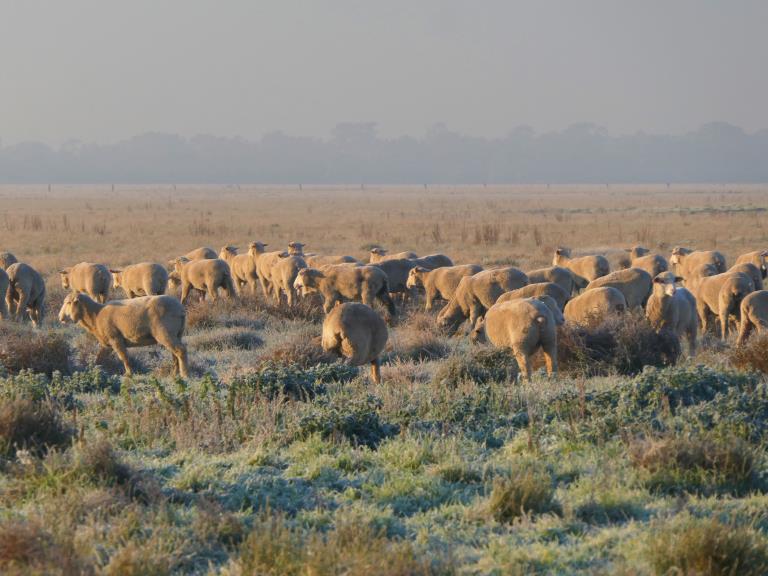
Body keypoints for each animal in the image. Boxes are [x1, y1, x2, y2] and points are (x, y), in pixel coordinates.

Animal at [58, 292, 188, 377]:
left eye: (68, 303)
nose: (60, 317)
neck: (95, 315)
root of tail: (180, 309)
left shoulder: (115, 339)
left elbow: (124, 357)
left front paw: (129, 374)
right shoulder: (107, 344)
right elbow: (99, 358)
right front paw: (96, 371)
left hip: (164, 332)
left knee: (180, 350)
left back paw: (184, 374)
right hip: (177, 334)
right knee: (175, 354)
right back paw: (174, 374)